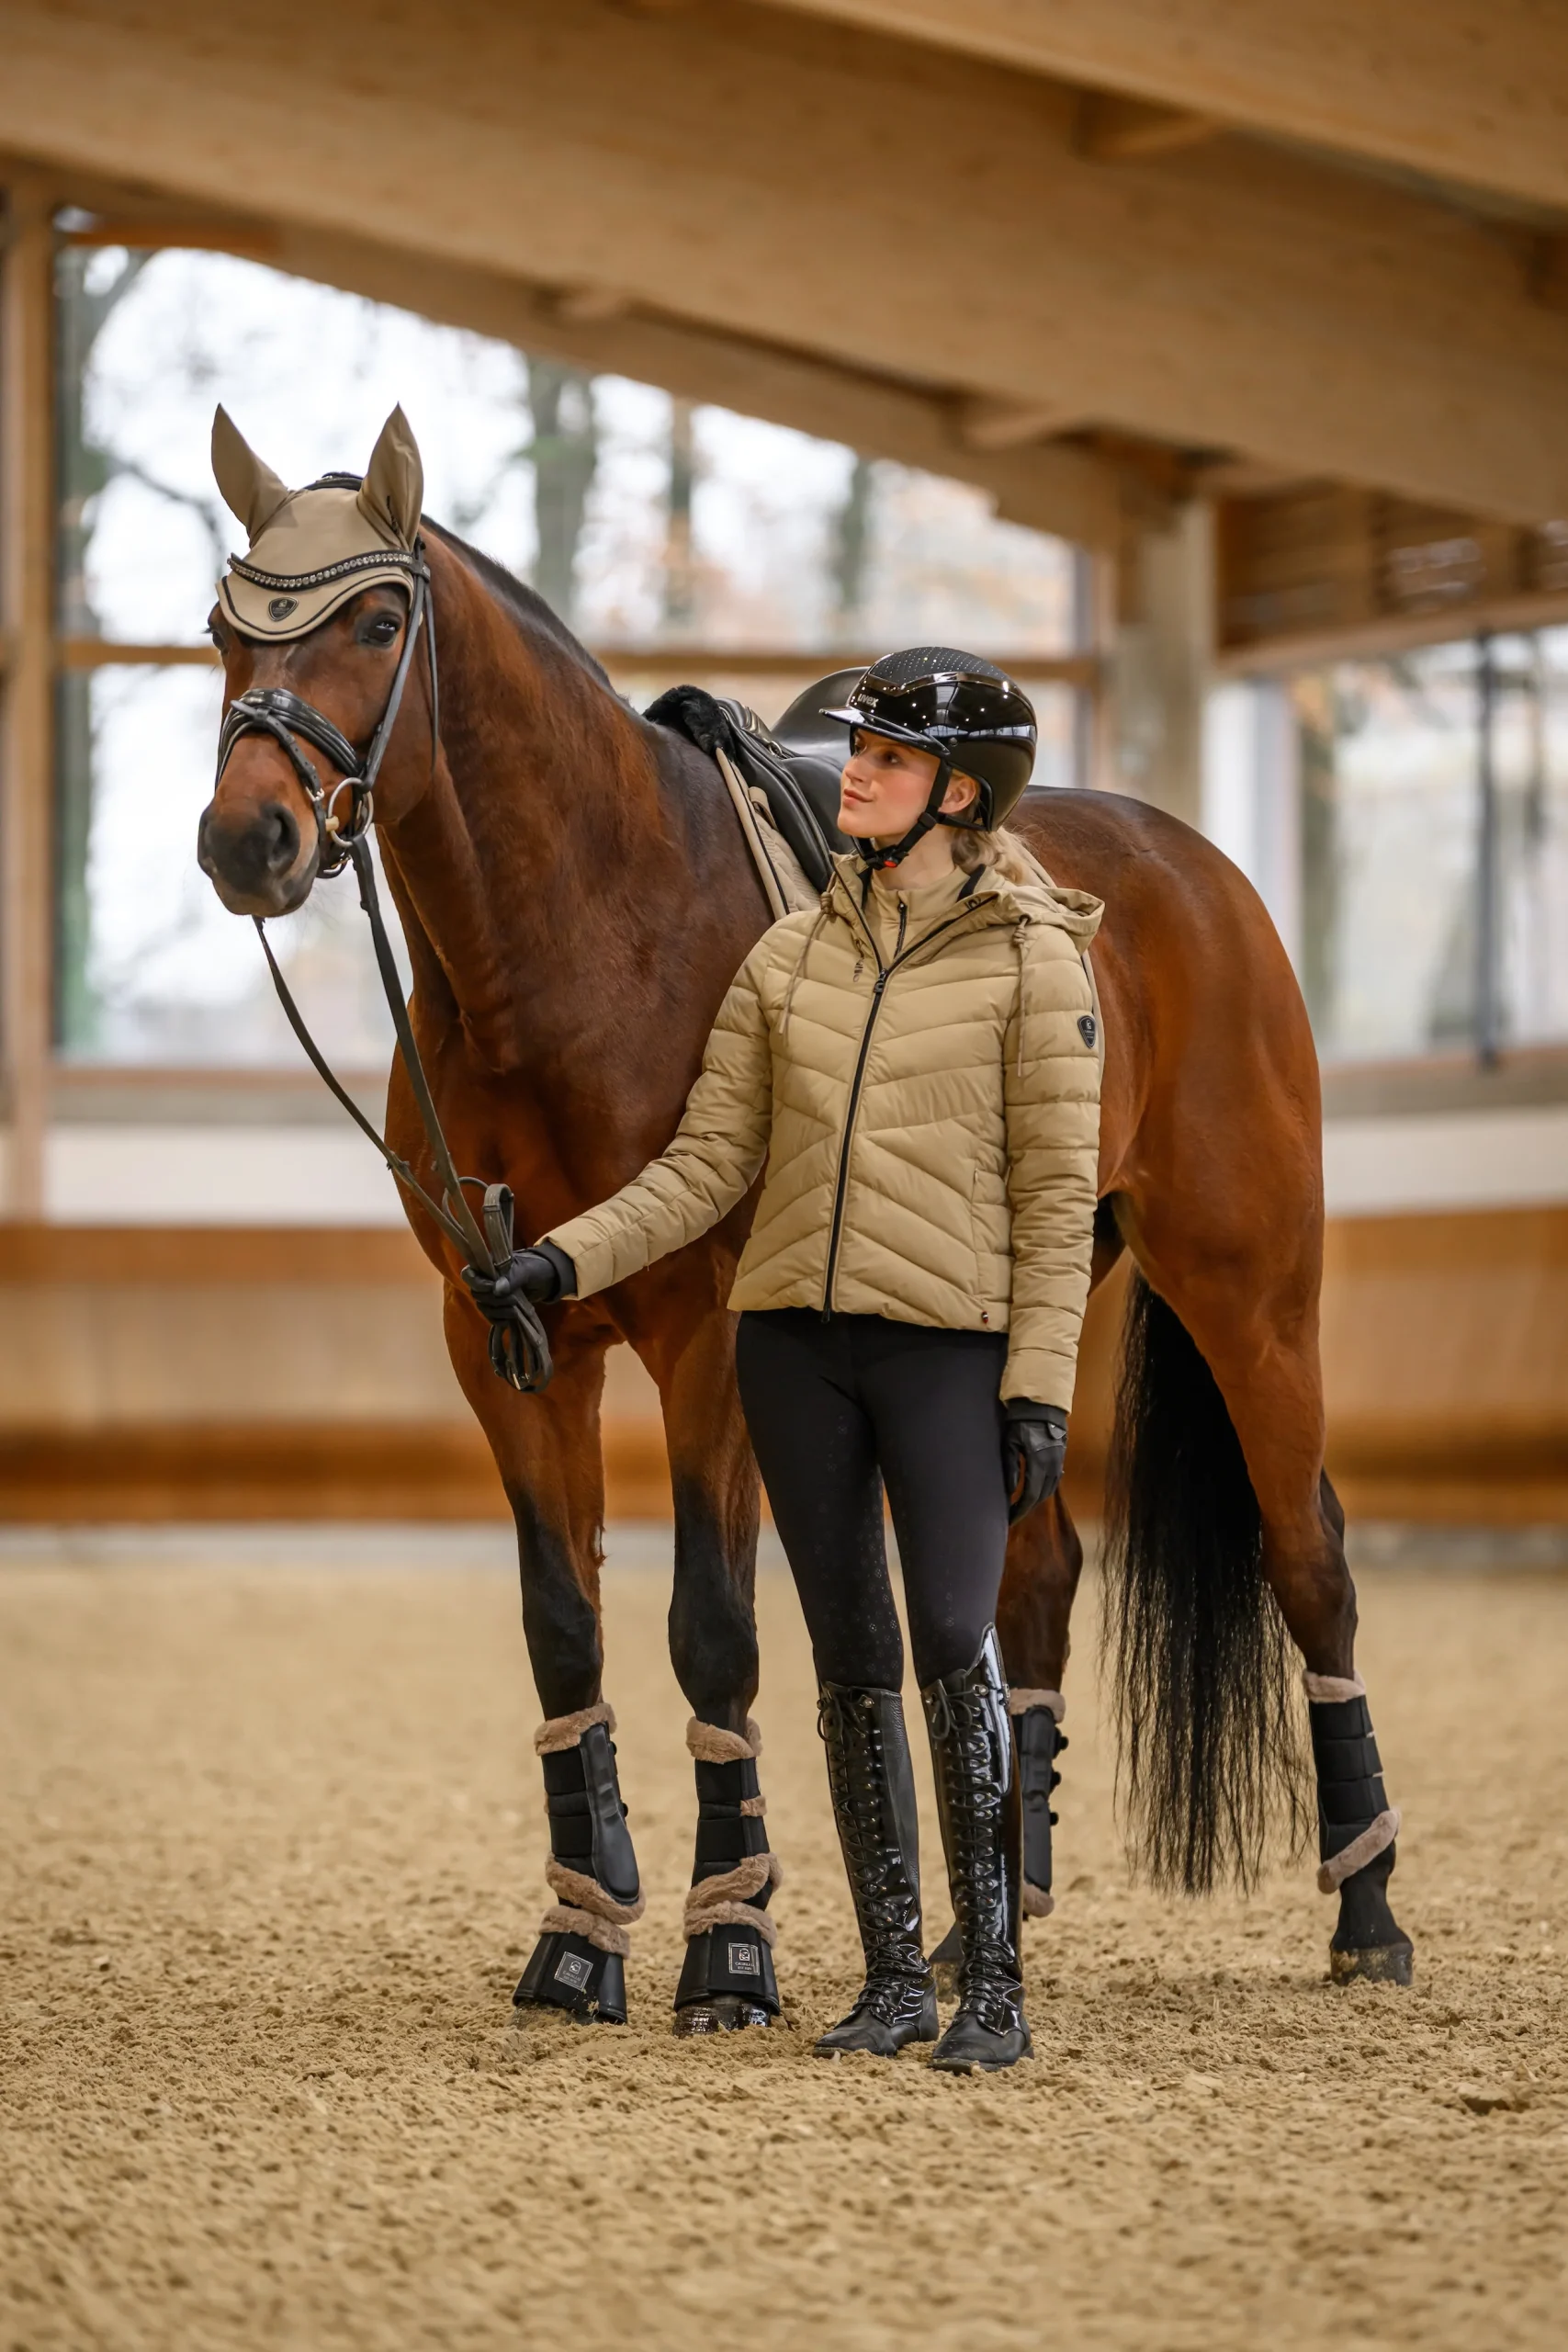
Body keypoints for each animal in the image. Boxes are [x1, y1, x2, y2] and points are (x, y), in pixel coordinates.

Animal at [197, 421, 1411, 2030]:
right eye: (224, 631)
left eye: (379, 623)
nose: (245, 840)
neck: (581, 935)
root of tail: (1190, 864)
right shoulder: (500, 1333)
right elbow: (560, 1626)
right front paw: (580, 1932)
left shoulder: (707, 1335)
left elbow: (711, 1630)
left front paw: (727, 1942)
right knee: (1031, 1577)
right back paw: (988, 1919)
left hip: (1249, 1293)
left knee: (1308, 1558)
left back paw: (1366, 1910)